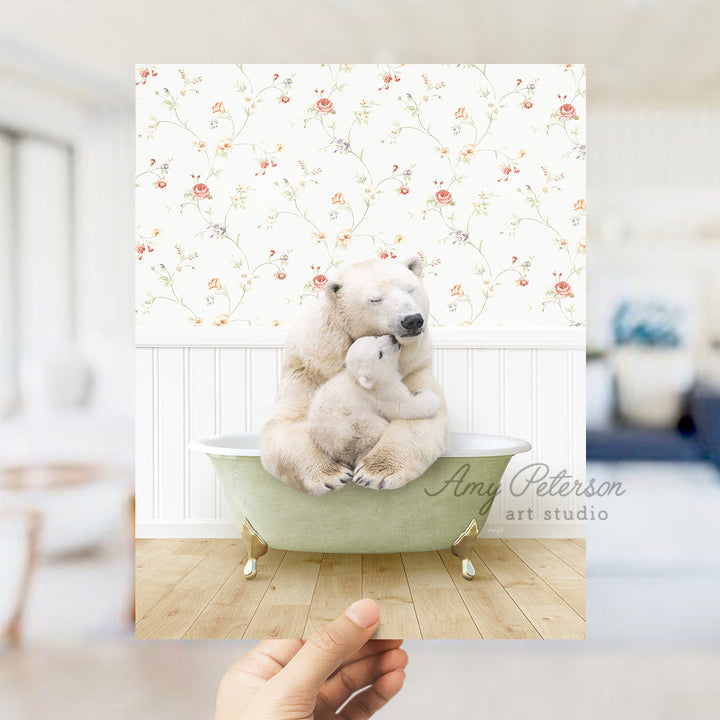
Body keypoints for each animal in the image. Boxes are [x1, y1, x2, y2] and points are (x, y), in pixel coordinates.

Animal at [308, 334, 442, 472]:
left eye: (375, 337)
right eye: (380, 354)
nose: (393, 338)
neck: (359, 381)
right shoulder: (383, 394)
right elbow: (405, 408)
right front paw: (426, 394)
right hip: (358, 425)